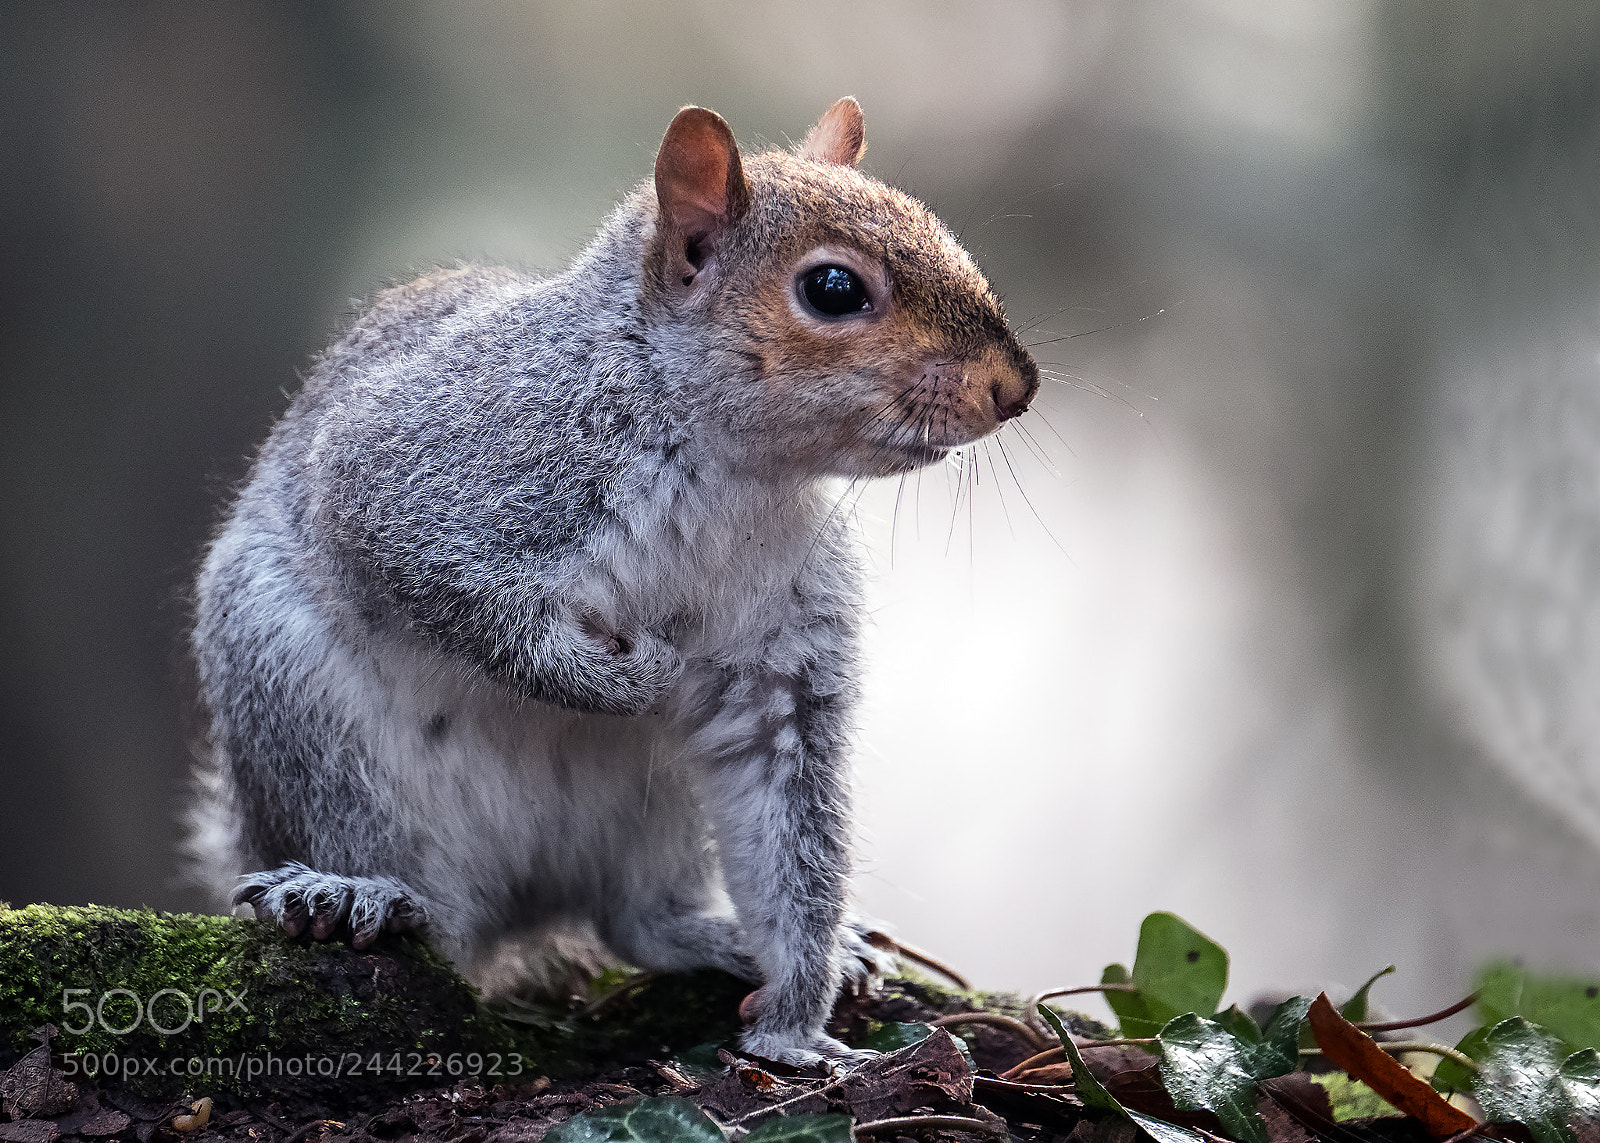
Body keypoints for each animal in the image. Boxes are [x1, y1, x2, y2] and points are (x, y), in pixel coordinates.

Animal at [187, 97, 1039, 1068]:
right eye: (833, 289)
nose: (1016, 388)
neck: (728, 465)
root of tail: (519, 904)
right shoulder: (427, 477)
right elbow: (469, 603)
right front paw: (635, 676)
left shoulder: (784, 655)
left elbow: (791, 822)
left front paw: (794, 1022)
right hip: (307, 717)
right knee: (413, 898)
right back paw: (344, 892)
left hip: (653, 819)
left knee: (638, 922)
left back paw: (736, 937)